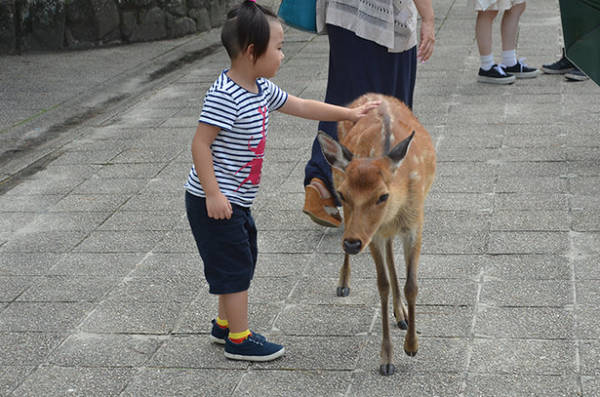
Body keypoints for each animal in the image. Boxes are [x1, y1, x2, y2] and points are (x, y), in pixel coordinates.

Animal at [318, 93, 436, 374]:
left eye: (383, 195)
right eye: (343, 195)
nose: (351, 243)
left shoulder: (415, 224)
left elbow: (412, 285)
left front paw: (412, 345)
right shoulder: (373, 236)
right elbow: (381, 285)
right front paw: (387, 359)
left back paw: (401, 314)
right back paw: (344, 283)